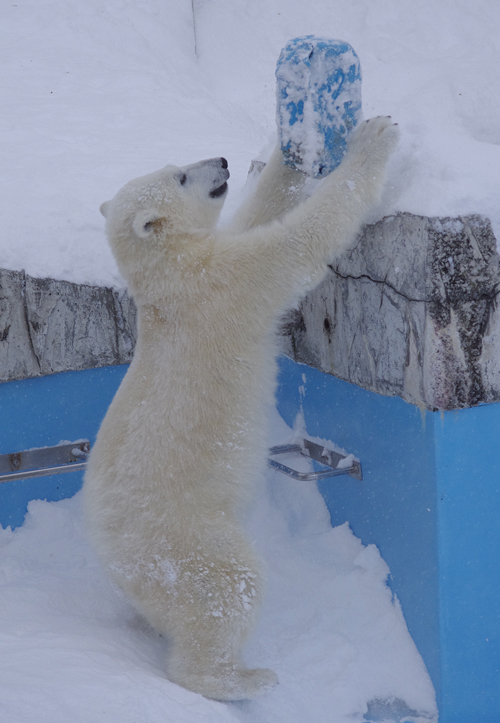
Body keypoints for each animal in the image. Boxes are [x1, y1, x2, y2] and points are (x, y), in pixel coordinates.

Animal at [84, 117, 400, 700]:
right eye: (182, 175)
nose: (223, 161)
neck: (169, 281)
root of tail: (116, 564)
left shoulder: (218, 259)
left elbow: (260, 212)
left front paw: (287, 144)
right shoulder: (226, 286)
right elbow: (295, 244)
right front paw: (373, 138)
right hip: (185, 542)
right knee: (231, 586)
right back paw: (243, 679)